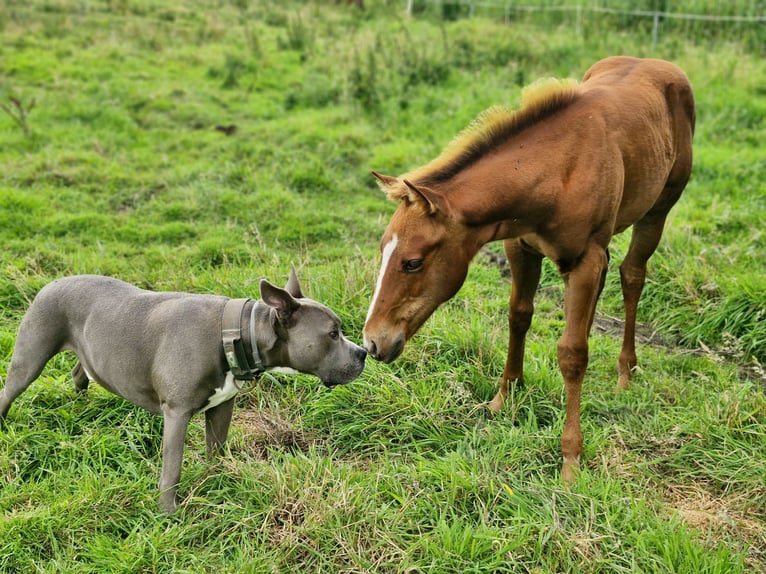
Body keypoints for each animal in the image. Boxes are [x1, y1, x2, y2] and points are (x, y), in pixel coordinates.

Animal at [363, 56, 695, 481]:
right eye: (382, 251)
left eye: (412, 262)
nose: (373, 342)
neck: (558, 172)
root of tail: (659, 65)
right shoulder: (520, 247)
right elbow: (519, 317)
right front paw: (504, 397)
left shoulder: (584, 258)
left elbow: (572, 352)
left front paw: (571, 459)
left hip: (658, 211)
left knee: (632, 275)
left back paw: (626, 372)